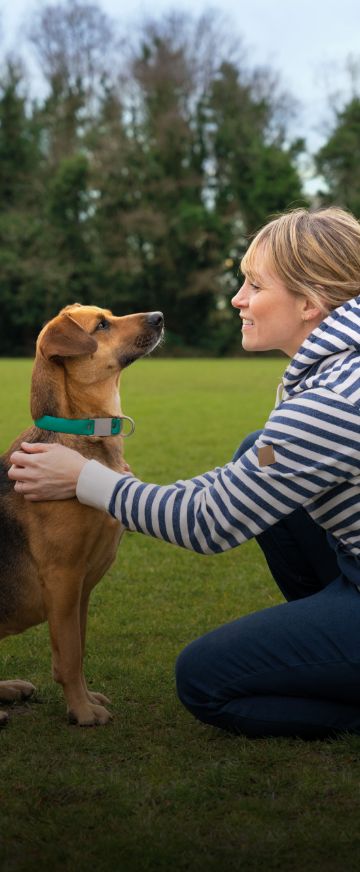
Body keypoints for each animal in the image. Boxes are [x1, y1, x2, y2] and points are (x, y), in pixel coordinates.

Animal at [0, 304, 163, 724]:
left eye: (110, 315)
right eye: (101, 325)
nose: (159, 316)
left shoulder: (82, 588)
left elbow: (77, 646)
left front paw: (85, 698)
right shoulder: (63, 576)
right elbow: (70, 653)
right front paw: (82, 710)